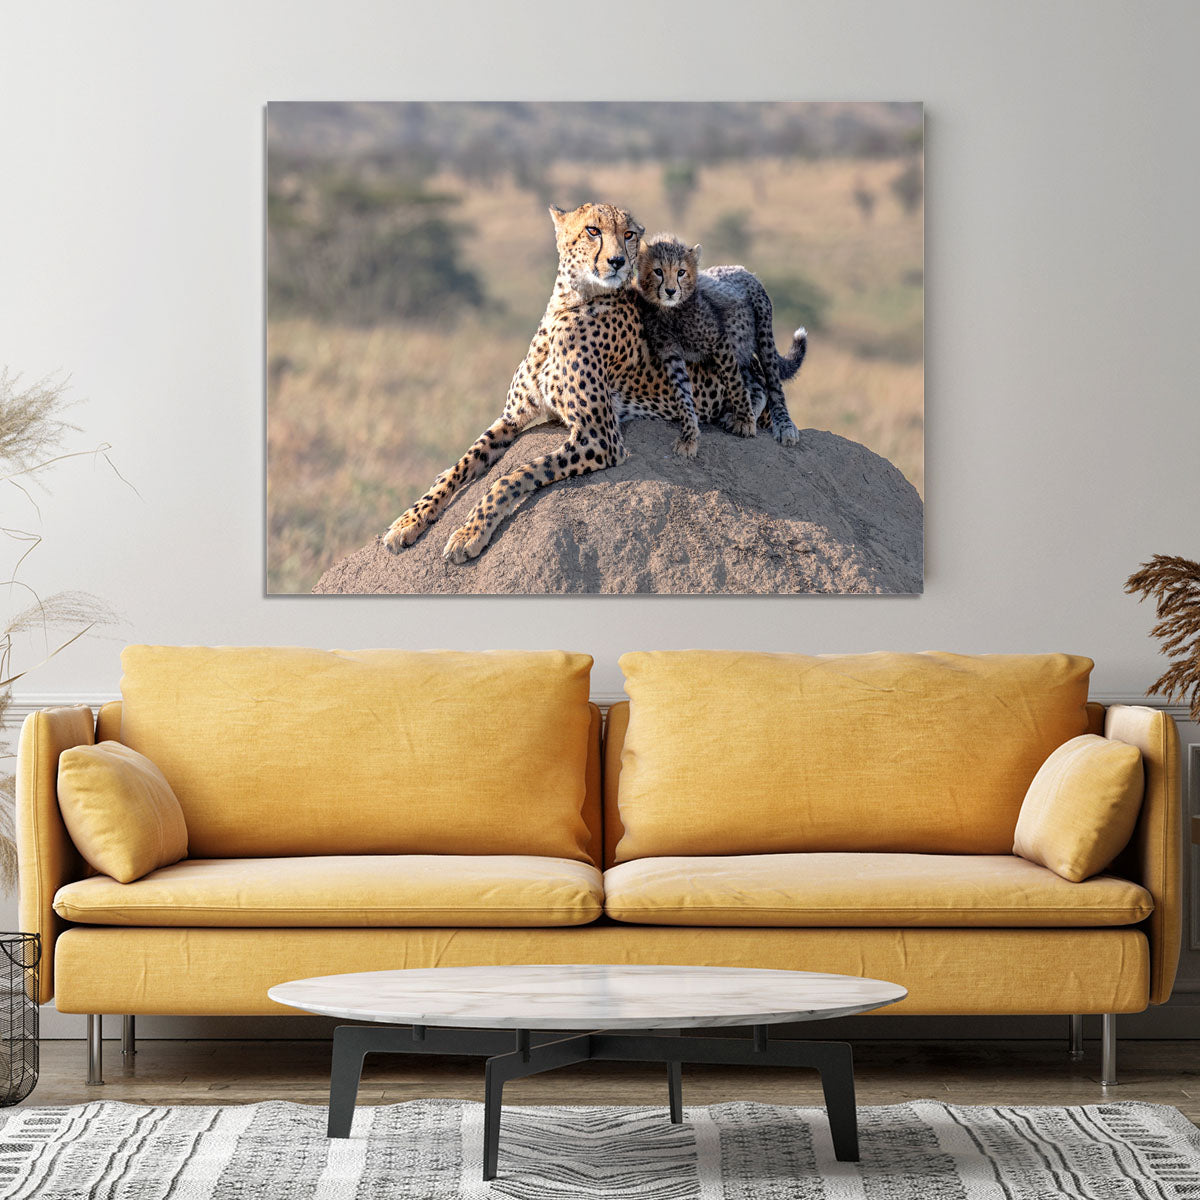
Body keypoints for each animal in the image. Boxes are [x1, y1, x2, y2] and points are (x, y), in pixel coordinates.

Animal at [382, 202, 740, 564]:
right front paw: (409, 520)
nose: (617, 261)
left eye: (629, 234)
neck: (569, 302)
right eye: (593, 230)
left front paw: (470, 532)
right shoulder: (511, 418)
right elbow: (463, 463)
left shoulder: (600, 437)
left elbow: (514, 475)